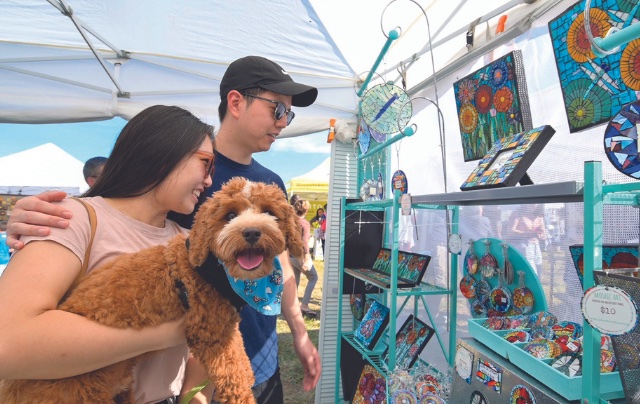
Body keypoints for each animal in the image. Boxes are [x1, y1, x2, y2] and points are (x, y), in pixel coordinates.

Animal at [0, 178, 304, 404]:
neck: (209, 268)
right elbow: (234, 376)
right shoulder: (211, 334)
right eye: (230, 215)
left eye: (270, 213)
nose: (251, 232)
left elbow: (241, 363)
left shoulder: (226, 328)